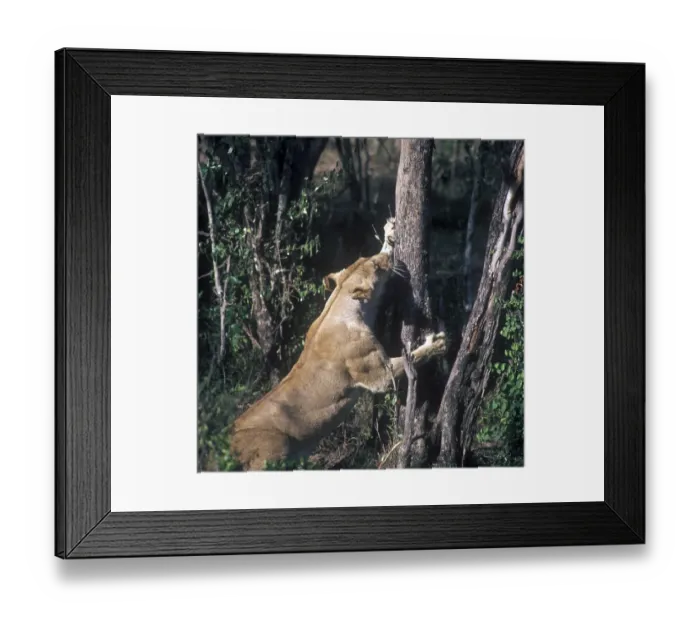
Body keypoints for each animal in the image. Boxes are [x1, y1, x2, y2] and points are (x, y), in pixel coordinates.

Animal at [229, 219, 447, 470]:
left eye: (366, 257)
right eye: (376, 266)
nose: (390, 258)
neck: (339, 305)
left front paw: (390, 231)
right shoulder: (380, 376)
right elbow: (411, 357)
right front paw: (438, 343)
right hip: (273, 447)